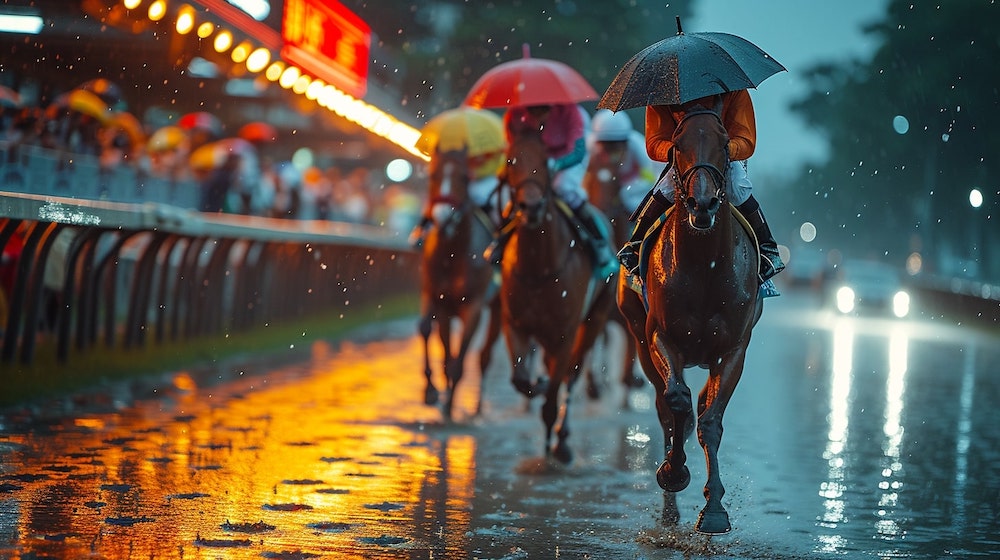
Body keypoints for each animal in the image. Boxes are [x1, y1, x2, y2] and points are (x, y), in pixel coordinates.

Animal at [418, 148, 504, 420]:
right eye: (433, 174)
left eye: (465, 177)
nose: (443, 217)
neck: (452, 252)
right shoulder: (438, 298)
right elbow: (430, 334)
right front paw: (432, 391)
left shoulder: (472, 306)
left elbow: (460, 359)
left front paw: (448, 405)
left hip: (499, 308)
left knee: (484, 355)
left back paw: (476, 407)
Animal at [496, 127, 612, 464]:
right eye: (511, 160)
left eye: (545, 160)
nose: (532, 207)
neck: (538, 268)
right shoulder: (515, 324)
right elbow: (522, 380)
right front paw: (537, 383)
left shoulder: (565, 333)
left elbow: (552, 396)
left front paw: (556, 446)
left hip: (595, 319)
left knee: (572, 374)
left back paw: (561, 437)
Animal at [616, 103, 764, 536]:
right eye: (678, 144)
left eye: (723, 143)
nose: (702, 204)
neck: (704, 267)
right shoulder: (660, 337)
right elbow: (676, 404)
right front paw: (673, 472)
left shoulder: (733, 349)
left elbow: (710, 421)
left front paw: (714, 509)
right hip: (638, 336)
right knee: (668, 406)